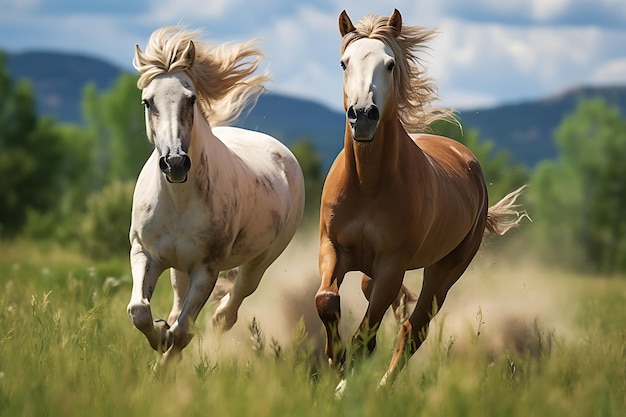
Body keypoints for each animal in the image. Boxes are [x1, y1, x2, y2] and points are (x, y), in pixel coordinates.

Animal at [125, 26, 304, 366]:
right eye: (147, 102)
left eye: (191, 98)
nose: (175, 162)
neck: (178, 201)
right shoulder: (145, 252)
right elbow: (140, 311)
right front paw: (160, 337)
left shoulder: (207, 269)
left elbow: (184, 330)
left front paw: (164, 363)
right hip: (178, 269)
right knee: (179, 308)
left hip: (258, 264)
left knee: (225, 314)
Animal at [314, 9, 524, 394]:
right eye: (344, 63)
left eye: (390, 64)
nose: (362, 115)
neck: (368, 183)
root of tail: (466, 159)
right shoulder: (332, 247)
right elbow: (326, 301)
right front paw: (335, 360)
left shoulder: (392, 265)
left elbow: (366, 335)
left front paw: (345, 385)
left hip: (445, 272)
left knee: (414, 329)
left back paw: (383, 387)